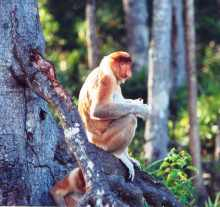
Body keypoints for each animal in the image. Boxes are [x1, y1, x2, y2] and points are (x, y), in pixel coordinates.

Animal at [50, 51, 150, 206]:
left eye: (128, 64)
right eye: (124, 64)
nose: (129, 72)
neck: (108, 68)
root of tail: (92, 140)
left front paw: (137, 102)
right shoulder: (107, 79)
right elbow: (99, 109)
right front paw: (142, 109)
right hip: (105, 141)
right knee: (130, 119)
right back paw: (120, 154)